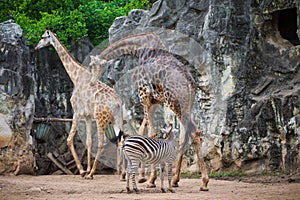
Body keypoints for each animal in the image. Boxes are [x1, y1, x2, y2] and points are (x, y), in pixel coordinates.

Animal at [35, 29, 125, 180]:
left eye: (42, 37)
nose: (36, 47)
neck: (76, 77)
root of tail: (117, 102)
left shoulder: (77, 112)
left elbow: (69, 139)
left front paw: (83, 171)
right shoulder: (87, 116)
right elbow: (88, 142)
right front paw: (86, 170)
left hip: (101, 118)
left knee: (102, 142)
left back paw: (94, 173)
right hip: (116, 118)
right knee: (121, 140)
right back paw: (122, 174)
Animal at [92, 32, 210, 191]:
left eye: (93, 66)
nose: (91, 82)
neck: (139, 49)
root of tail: (190, 84)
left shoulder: (144, 96)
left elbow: (151, 133)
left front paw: (150, 179)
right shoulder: (155, 101)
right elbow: (146, 131)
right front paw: (147, 177)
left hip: (175, 104)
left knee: (193, 132)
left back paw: (203, 182)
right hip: (186, 106)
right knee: (187, 135)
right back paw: (176, 180)